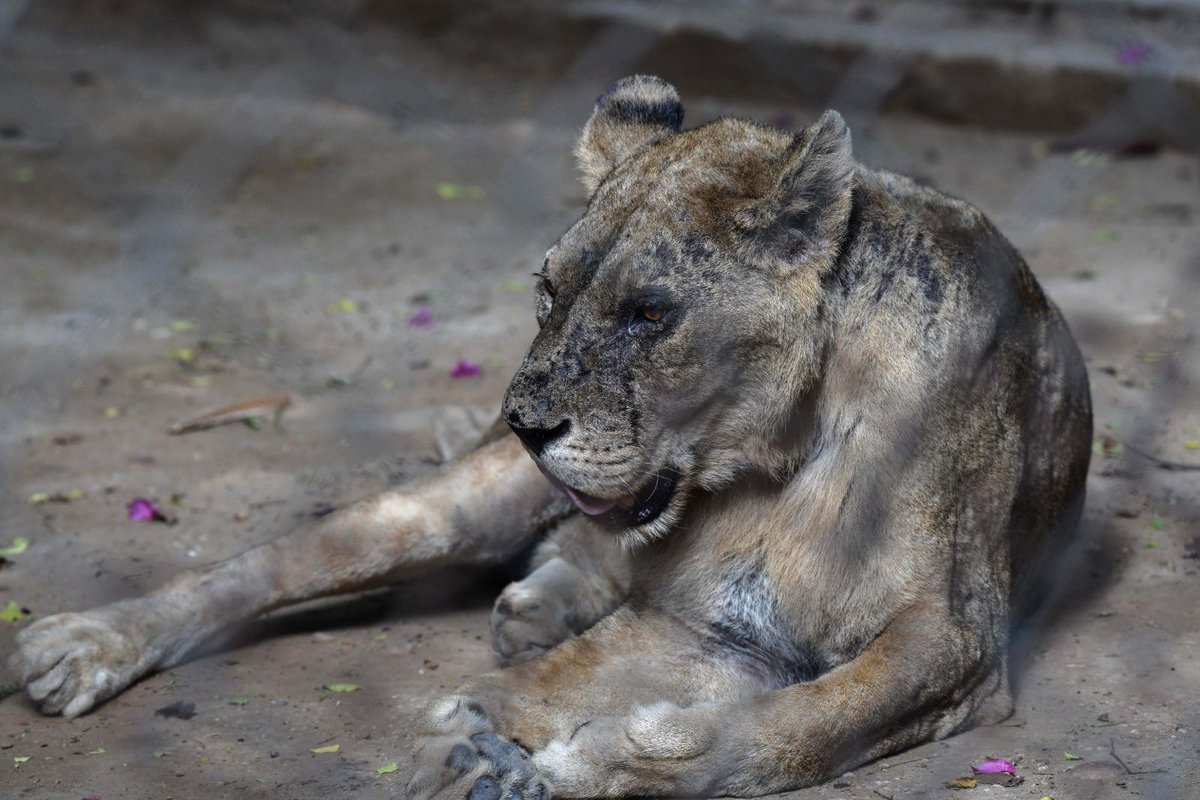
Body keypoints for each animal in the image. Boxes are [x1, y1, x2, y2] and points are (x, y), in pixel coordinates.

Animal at [10, 75, 1091, 798]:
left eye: (649, 313)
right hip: (461, 501)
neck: (779, 456)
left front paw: (571, 761)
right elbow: (547, 683)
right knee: (275, 560)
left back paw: (546, 603)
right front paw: (477, 740)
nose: (528, 421)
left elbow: (789, 728)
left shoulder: (951, 639)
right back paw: (83, 643)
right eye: (549, 290)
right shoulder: (697, 621)